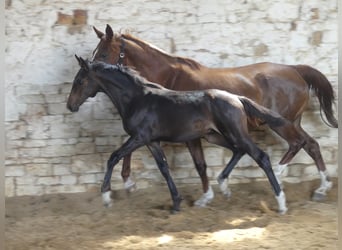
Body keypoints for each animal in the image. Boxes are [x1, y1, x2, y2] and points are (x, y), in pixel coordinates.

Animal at [66, 56, 304, 213]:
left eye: (79, 81)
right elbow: (164, 168)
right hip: (214, 135)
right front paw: (176, 203)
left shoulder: (139, 137)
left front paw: (106, 196)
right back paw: (224, 186)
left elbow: (113, 157)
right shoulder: (152, 141)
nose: (70, 106)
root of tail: (237, 98)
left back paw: (281, 202)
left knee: (261, 156)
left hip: (233, 133)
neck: (138, 99)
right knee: (239, 151)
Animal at [90, 23, 336, 203]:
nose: (90, 69)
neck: (170, 78)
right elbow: (129, 146)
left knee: (297, 144)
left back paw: (280, 174)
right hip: (294, 122)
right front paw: (128, 182)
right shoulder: (151, 128)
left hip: (283, 124)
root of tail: (296, 70)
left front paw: (206, 196)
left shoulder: (186, 134)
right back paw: (322, 188)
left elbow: (199, 164)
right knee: (311, 144)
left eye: (103, 53)